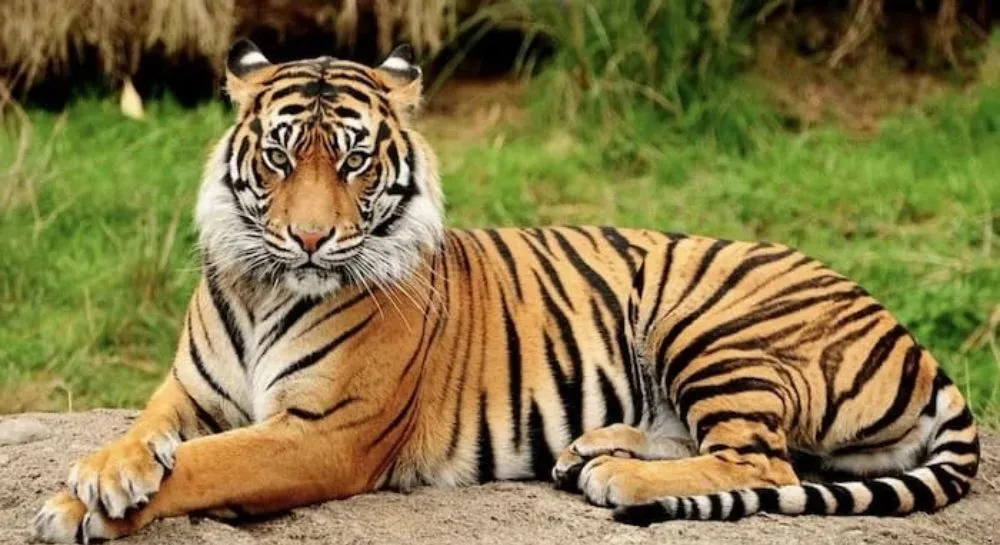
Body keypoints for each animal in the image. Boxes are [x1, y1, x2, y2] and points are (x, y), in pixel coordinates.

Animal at [33, 40, 979, 542]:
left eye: (353, 160)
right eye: (278, 157)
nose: (309, 238)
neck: (268, 287)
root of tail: (913, 339)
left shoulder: (322, 434)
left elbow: (205, 463)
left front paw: (82, 505)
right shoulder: (189, 391)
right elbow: (146, 433)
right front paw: (98, 474)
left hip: (709, 322)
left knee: (763, 458)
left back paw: (619, 479)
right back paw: (594, 449)